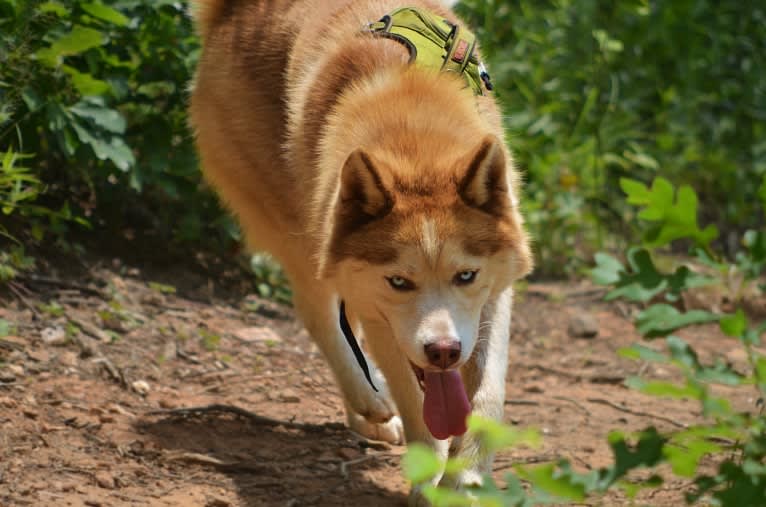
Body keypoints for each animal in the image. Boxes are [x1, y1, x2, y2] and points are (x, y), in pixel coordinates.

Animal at [189, 0, 532, 500]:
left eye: (466, 276)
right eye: (399, 281)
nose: (443, 352)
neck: (414, 137)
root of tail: (232, 14)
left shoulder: (495, 294)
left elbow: (487, 395)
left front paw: (465, 479)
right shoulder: (378, 313)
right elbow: (414, 403)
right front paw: (427, 482)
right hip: (301, 233)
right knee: (320, 317)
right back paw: (368, 400)